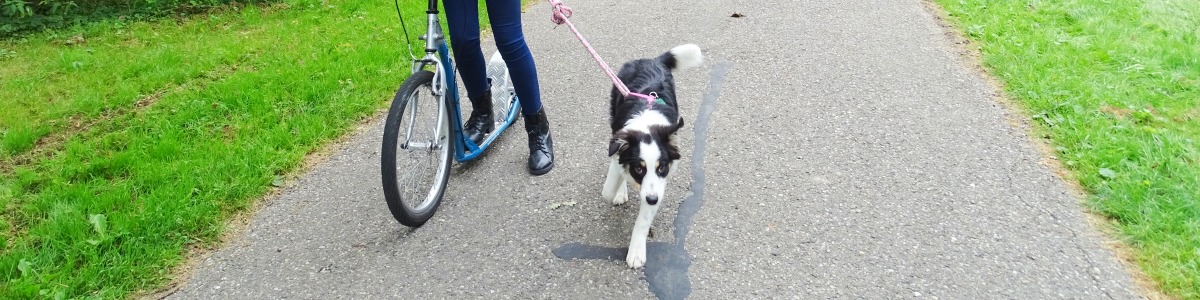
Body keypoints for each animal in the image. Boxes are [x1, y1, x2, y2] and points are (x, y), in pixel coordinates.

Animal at [600, 43, 700, 268]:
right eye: (639, 168)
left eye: (662, 167)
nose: (653, 199)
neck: (646, 124)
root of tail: (650, 60)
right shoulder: (619, 146)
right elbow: (609, 187)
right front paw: (620, 189)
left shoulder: (658, 185)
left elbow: (644, 219)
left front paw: (636, 251)